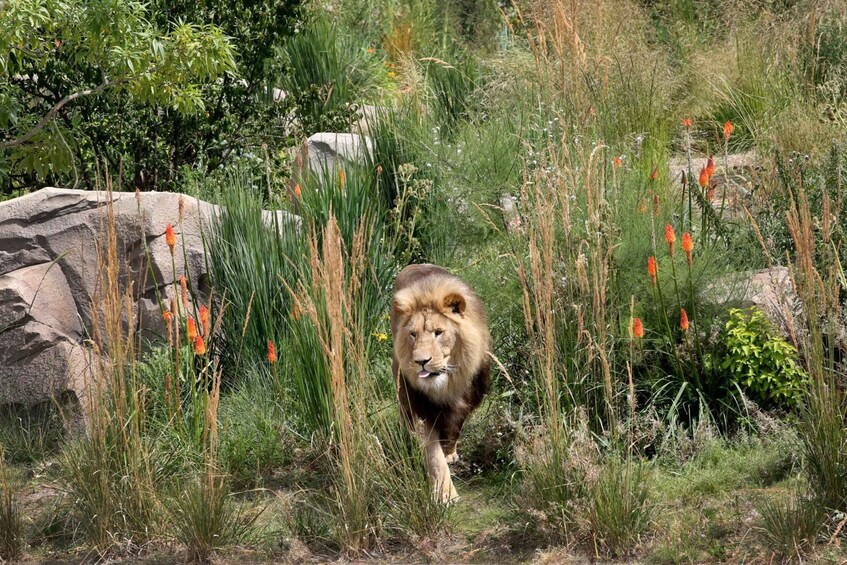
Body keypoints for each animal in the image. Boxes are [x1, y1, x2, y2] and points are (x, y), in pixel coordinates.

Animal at [390, 263, 491, 503]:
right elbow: (433, 455)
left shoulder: (466, 400)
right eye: (413, 334)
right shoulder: (421, 407)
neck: (446, 384)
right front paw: (446, 495)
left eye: (438, 333)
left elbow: (454, 429)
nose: (421, 362)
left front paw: (450, 452)